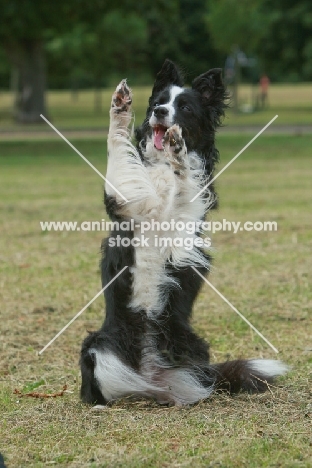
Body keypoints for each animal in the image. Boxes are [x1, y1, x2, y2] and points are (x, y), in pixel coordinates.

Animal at [80, 59, 288, 406]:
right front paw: (120, 106)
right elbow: (117, 144)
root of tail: (150, 379)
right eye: (158, 101)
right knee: (103, 388)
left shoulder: (186, 223)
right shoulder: (126, 201)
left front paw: (178, 154)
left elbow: (184, 181)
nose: (160, 111)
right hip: (98, 344)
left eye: (185, 107)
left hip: (193, 349)